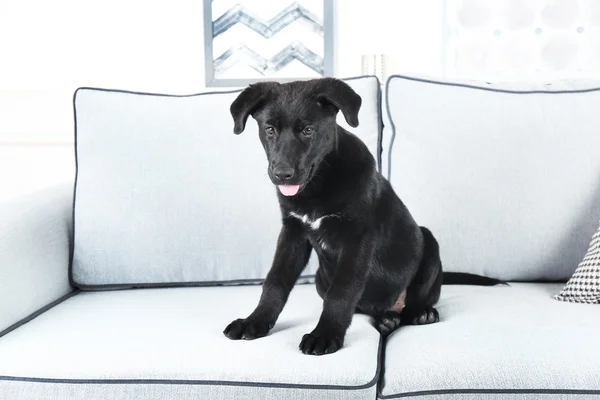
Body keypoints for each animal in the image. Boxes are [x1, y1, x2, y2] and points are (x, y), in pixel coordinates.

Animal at [223, 76, 500, 354]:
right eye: (270, 129)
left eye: (308, 130)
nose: (282, 174)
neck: (319, 183)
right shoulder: (293, 233)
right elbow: (275, 281)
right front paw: (254, 321)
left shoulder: (357, 238)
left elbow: (342, 291)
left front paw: (326, 334)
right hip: (321, 279)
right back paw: (387, 320)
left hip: (428, 242)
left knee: (414, 300)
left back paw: (420, 313)